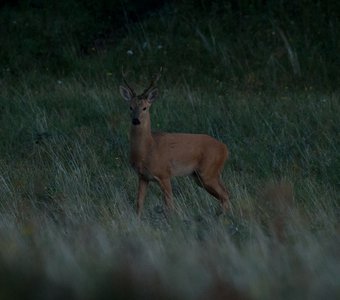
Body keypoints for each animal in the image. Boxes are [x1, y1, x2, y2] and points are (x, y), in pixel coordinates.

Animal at [119, 69, 228, 217]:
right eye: (130, 107)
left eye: (145, 108)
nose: (136, 120)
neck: (148, 149)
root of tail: (225, 149)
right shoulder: (143, 176)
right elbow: (139, 203)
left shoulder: (164, 173)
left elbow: (169, 205)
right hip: (202, 175)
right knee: (224, 194)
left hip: (208, 171)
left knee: (225, 194)